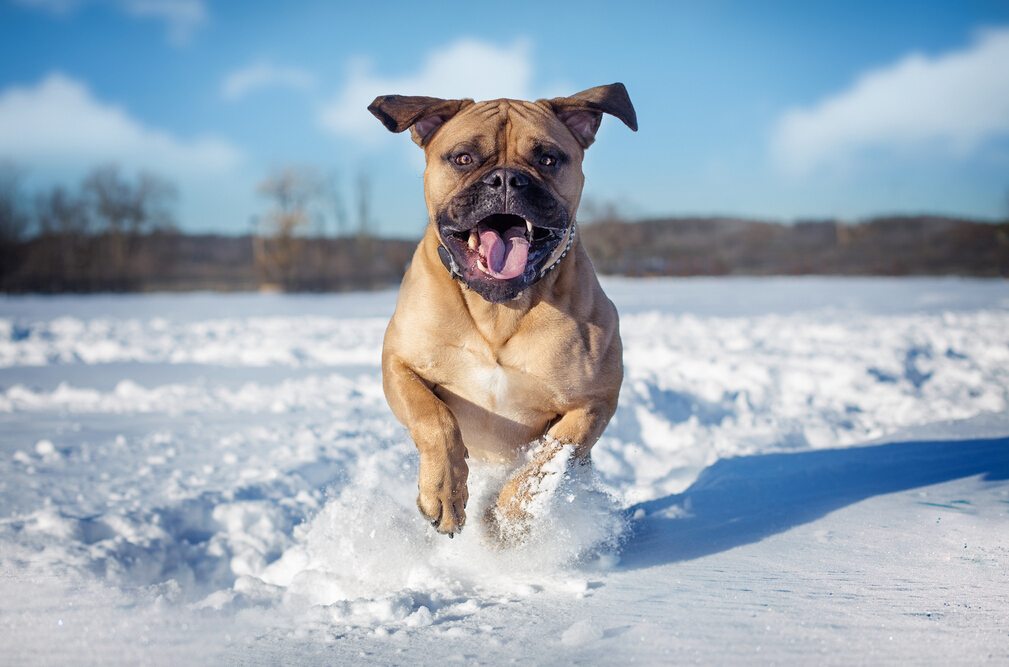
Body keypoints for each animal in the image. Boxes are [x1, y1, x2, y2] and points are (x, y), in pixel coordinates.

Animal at [371, 83, 637, 540]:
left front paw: (506, 521)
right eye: (463, 158)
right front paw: (444, 495)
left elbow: (548, 460)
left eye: (548, 159)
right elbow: (434, 418)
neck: (499, 309)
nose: (508, 179)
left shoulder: (593, 402)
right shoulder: (401, 364)